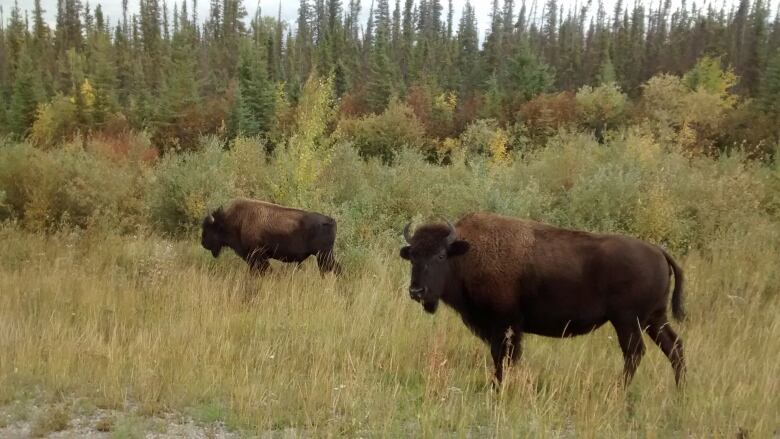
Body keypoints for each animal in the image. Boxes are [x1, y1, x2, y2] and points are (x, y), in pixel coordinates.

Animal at [203, 199, 340, 276]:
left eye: (209, 229)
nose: (203, 243)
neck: (237, 221)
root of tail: (330, 220)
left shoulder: (257, 256)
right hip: (324, 256)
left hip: (323, 256)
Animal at [400, 213, 684, 388]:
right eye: (413, 257)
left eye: (439, 256)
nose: (417, 291)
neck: (467, 254)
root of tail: (658, 251)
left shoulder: (505, 325)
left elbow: (503, 357)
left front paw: (497, 387)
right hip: (654, 319)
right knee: (675, 347)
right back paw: (679, 390)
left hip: (627, 322)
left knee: (634, 353)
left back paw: (619, 390)